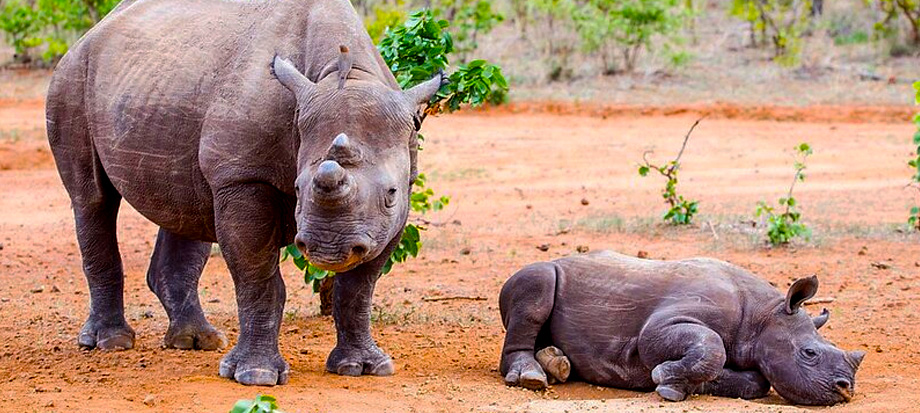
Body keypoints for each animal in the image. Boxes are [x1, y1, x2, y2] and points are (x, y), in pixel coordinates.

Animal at [45, 0, 444, 386]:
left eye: (391, 192)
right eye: (297, 188)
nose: (328, 248)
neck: (344, 72)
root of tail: (92, 34)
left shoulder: (396, 202)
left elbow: (360, 286)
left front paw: (364, 367)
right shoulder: (241, 177)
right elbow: (258, 277)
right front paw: (256, 376)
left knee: (186, 208)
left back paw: (197, 341)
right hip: (71, 78)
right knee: (92, 199)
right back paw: (110, 343)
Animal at [499, 251, 865, 406]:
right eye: (809, 353)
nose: (846, 391)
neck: (763, 315)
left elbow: (756, 381)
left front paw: (683, 384)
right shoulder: (662, 326)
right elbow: (711, 347)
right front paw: (665, 381)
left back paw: (558, 365)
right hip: (537, 272)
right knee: (538, 286)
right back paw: (531, 378)